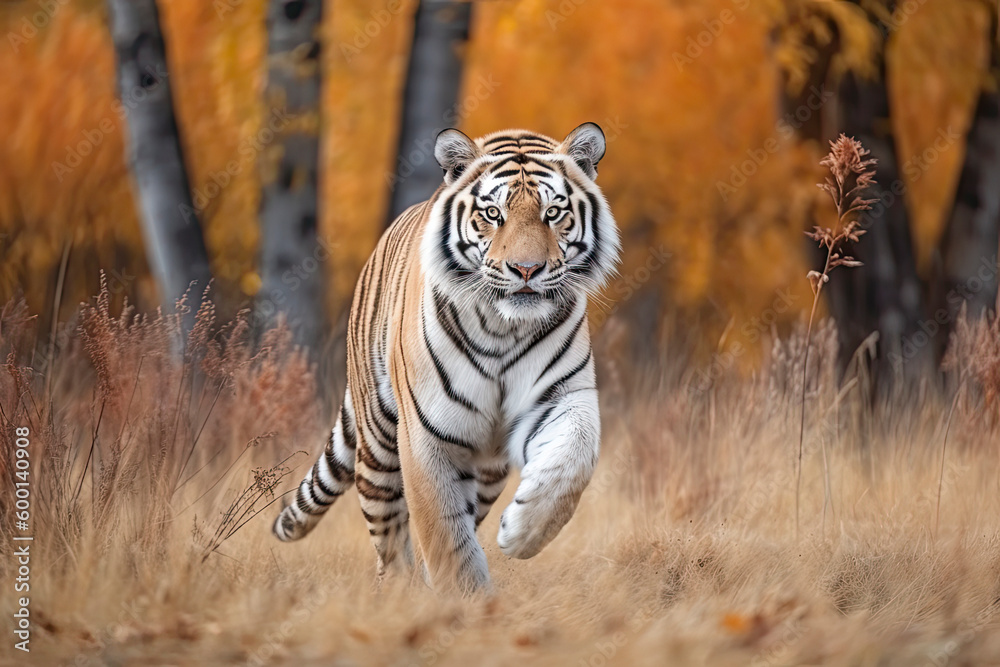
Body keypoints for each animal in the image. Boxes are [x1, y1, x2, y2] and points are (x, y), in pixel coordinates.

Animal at [273, 123, 621, 593]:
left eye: (552, 213)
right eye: (493, 214)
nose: (526, 270)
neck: (504, 328)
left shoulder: (561, 396)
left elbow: (573, 460)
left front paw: (522, 533)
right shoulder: (427, 430)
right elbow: (440, 528)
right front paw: (463, 597)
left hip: (489, 469)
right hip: (378, 442)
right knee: (389, 533)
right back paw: (398, 589)